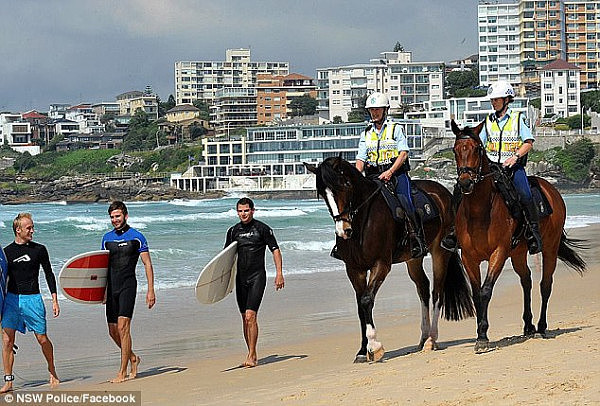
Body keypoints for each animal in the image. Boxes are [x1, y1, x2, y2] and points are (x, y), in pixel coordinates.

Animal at [304, 157, 474, 364]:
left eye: (345, 185)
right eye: (322, 193)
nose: (343, 230)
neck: (362, 222)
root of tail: (444, 192)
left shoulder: (381, 265)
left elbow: (366, 300)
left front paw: (375, 346)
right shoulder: (354, 269)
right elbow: (360, 306)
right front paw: (363, 350)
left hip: (440, 252)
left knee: (437, 291)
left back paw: (431, 339)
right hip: (413, 258)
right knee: (423, 287)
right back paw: (423, 337)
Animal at [450, 119, 584, 352]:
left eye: (477, 149)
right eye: (455, 150)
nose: (465, 182)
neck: (479, 211)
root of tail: (552, 189)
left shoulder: (499, 253)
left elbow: (485, 291)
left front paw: (483, 335)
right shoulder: (468, 257)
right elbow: (476, 295)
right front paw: (480, 334)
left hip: (549, 248)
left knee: (545, 284)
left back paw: (541, 326)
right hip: (518, 253)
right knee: (526, 281)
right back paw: (528, 325)